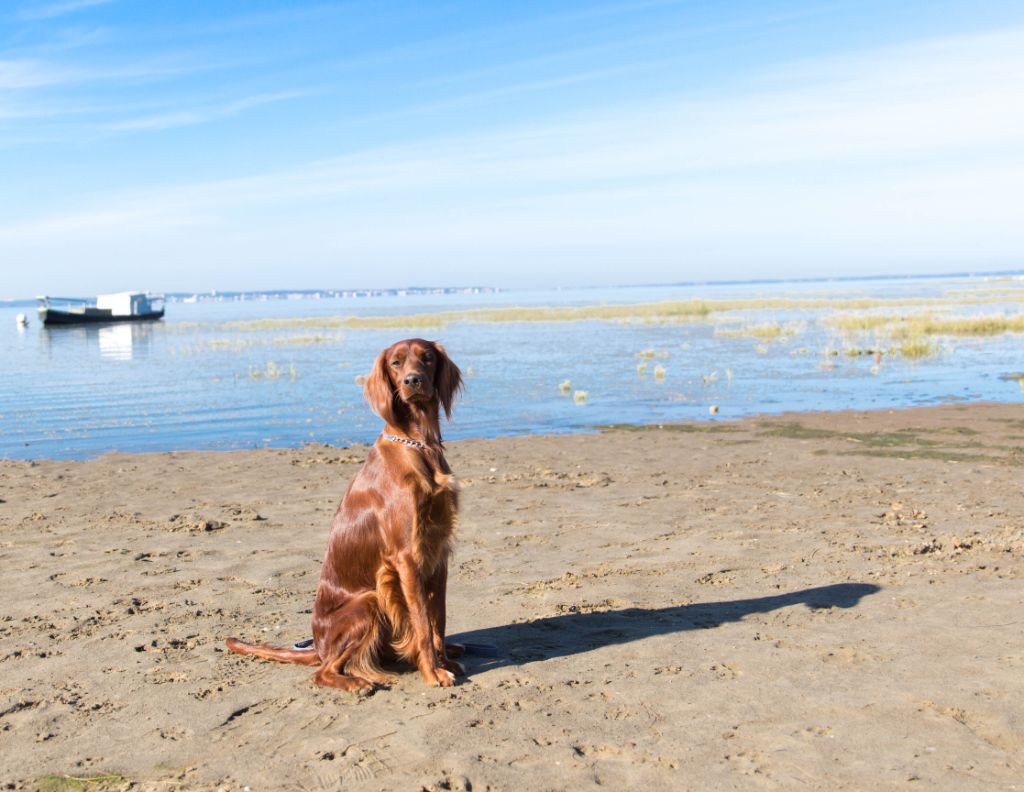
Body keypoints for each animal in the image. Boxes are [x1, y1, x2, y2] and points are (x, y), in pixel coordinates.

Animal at [227, 336, 464, 688]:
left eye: (428, 358)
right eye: (396, 363)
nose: (413, 381)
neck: (418, 444)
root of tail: (317, 645)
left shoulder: (438, 552)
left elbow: (439, 619)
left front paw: (444, 660)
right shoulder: (407, 556)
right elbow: (422, 621)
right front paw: (433, 672)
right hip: (368, 602)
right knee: (322, 672)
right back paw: (355, 682)